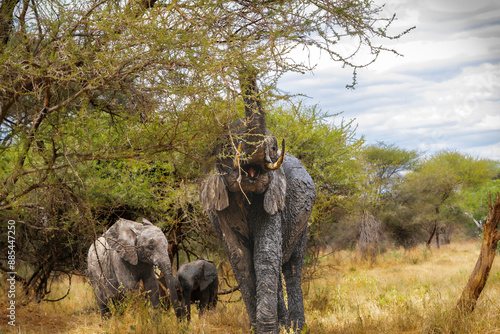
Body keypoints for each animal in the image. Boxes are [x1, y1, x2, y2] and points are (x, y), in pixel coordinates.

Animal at [200, 69, 314, 332]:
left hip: (304, 223)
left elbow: (266, 255)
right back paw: (285, 323)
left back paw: (295, 327)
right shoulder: (220, 210)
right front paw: (258, 328)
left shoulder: (273, 200)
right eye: (229, 146)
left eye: (273, 148)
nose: (248, 70)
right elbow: (240, 259)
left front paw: (269, 329)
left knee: (292, 266)